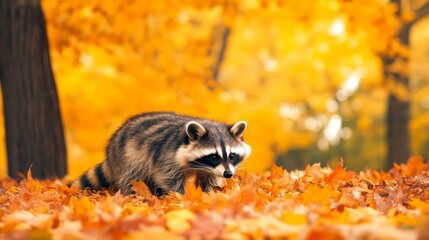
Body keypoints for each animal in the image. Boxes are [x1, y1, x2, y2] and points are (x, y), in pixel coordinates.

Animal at [69, 111, 251, 196]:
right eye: (213, 156)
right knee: (132, 177)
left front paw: (209, 194)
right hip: (128, 157)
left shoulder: (211, 170)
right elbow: (168, 178)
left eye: (232, 155)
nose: (228, 174)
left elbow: (210, 180)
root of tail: (109, 153)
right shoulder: (167, 156)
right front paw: (181, 197)